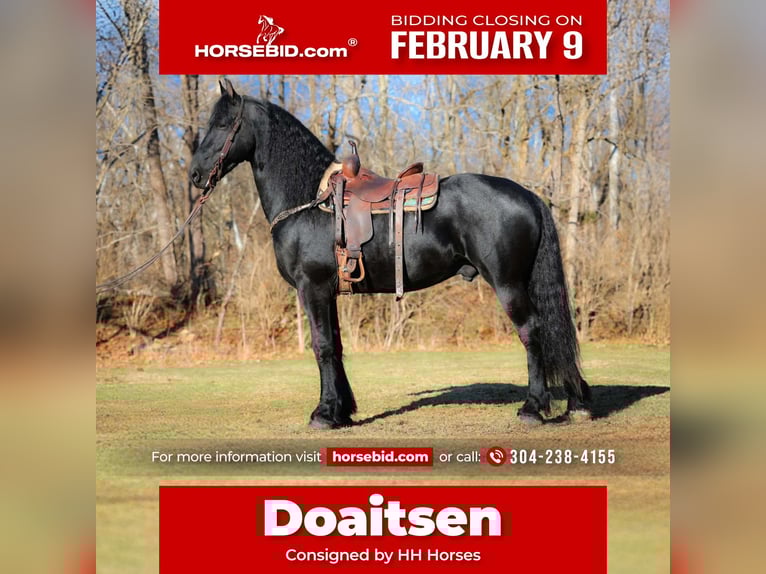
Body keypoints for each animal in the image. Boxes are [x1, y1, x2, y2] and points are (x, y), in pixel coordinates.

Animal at [189, 79, 592, 429]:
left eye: (223, 124)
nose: (195, 174)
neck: (309, 201)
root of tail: (529, 196)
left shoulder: (312, 288)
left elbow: (322, 347)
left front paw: (323, 414)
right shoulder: (328, 293)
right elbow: (336, 346)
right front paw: (342, 411)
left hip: (508, 284)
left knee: (532, 331)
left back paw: (533, 407)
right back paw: (577, 402)